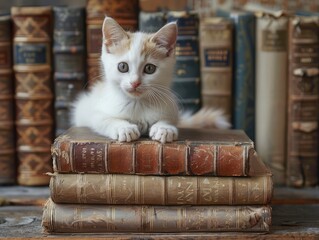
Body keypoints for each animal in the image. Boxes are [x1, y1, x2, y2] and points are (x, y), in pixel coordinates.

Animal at [72, 18, 230, 144]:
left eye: (149, 68)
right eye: (122, 67)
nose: (135, 82)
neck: (138, 104)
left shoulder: (171, 109)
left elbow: (169, 119)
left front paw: (164, 128)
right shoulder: (92, 110)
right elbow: (104, 119)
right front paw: (123, 127)